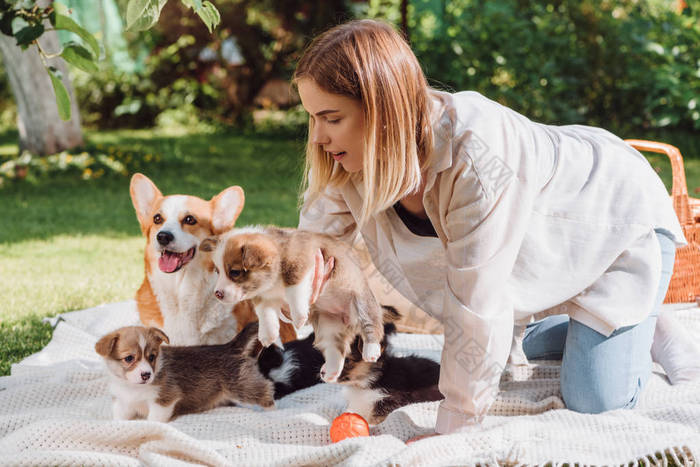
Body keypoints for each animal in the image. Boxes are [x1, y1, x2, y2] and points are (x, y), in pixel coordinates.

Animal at [94, 324, 274, 422]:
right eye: (129, 358)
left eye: (152, 357)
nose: (146, 375)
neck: (133, 387)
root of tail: (230, 346)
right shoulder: (123, 403)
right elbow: (120, 417)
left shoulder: (165, 399)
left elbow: (154, 419)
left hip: (243, 386)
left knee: (266, 389)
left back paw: (273, 412)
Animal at [200, 227, 386, 384]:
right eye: (217, 271)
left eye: (235, 272)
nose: (217, 293)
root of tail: (348, 320)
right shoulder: (264, 297)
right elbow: (265, 315)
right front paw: (267, 335)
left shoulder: (301, 266)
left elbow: (295, 290)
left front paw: (299, 317)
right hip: (329, 326)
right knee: (337, 350)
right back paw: (331, 372)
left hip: (362, 301)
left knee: (371, 324)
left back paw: (371, 350)